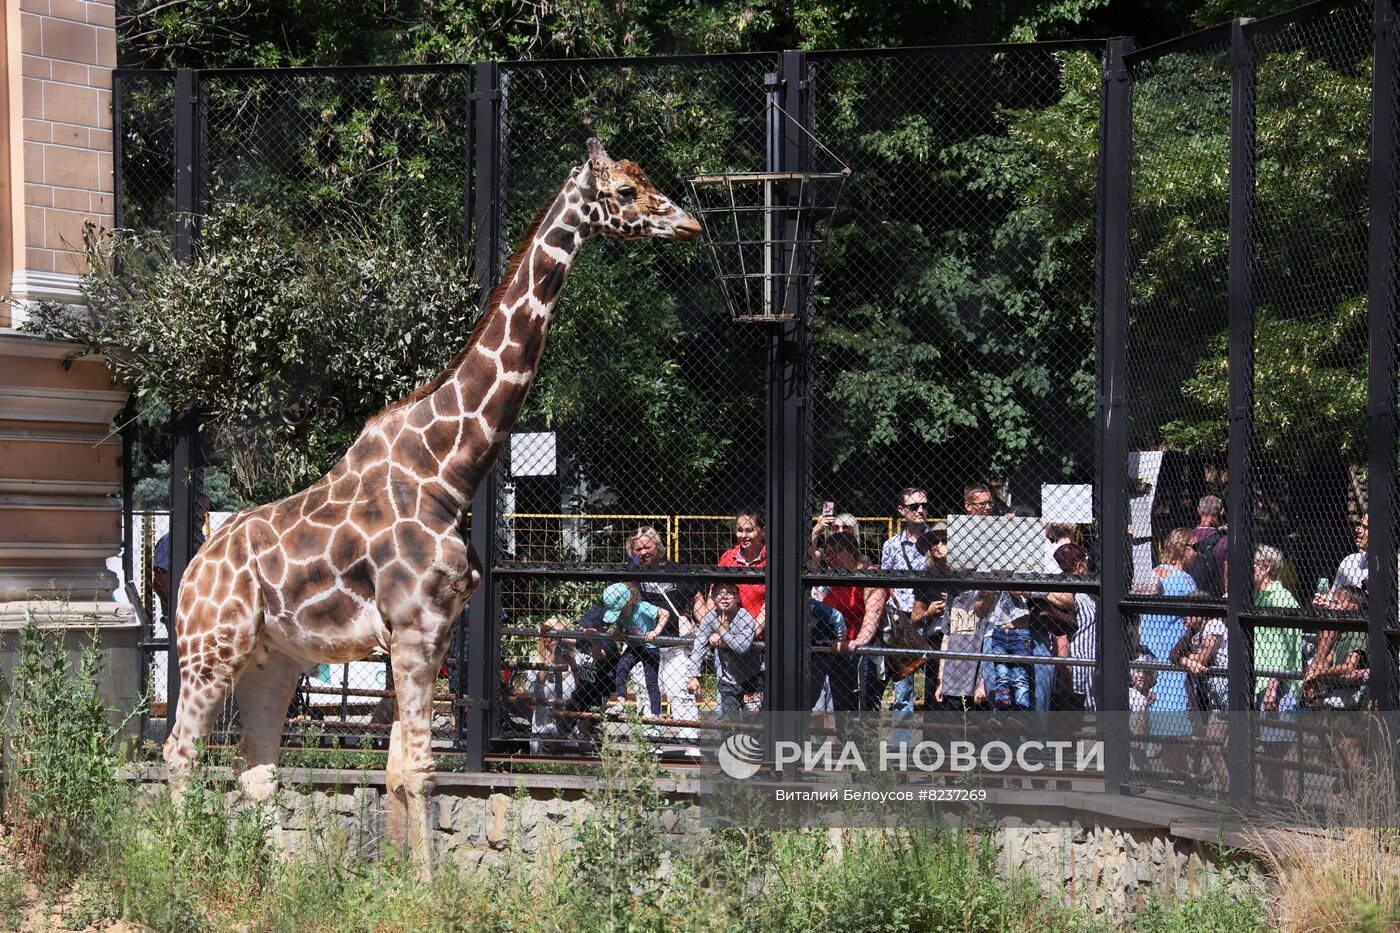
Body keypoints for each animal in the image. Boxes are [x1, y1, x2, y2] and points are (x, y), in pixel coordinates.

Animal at [162, 137, 700, 862]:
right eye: (623, 192)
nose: (689, 224)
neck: (448, 472)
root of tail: (192, 569)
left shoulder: (431, 632)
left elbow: (400, 770)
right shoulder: (416, 627)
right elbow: (418, 770)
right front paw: (419, 881)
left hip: (272, 661)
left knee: (257, 769)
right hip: (209, 650)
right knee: (179, 752)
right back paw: (169, 863)